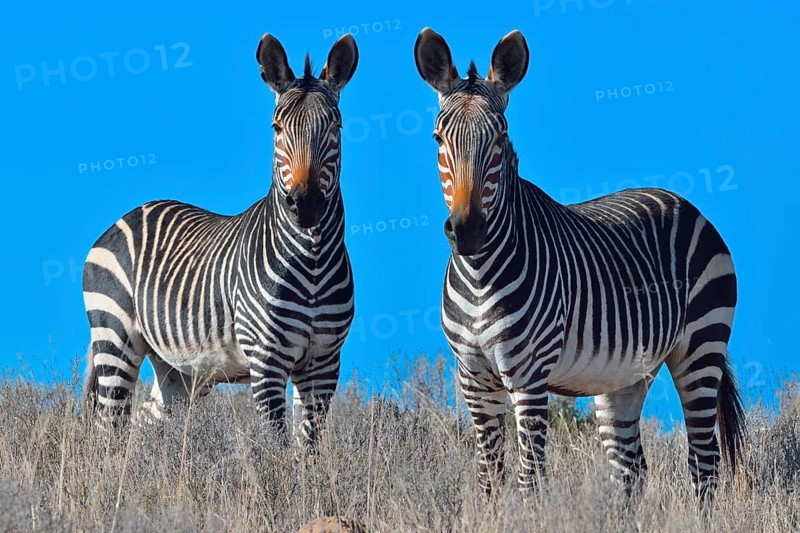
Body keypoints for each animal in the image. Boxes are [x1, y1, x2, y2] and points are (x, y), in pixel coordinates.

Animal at [82, 33, 359, 449]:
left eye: (336, 125)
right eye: (276, 128)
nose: (305, 204)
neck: (311, 260)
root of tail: (128, 215)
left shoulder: (324, 362)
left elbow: (308, 448)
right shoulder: (267, 360)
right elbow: (277, 446)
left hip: (179, 371)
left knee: (143, 420)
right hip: (115, 338)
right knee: (106, 429)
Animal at [414, 27, 745, 503]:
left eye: (500, 138)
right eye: (438, 139)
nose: (468, 231)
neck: (479, 276)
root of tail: (681, 199)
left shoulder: (529, 377)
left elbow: (529, 478)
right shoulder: (473, 379)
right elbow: (489, 477)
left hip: (702, 345)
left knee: (704, 464)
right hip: (625, 376)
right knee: (631, 471)